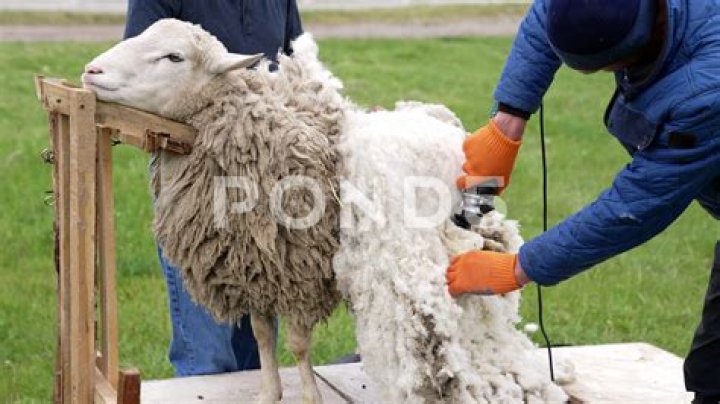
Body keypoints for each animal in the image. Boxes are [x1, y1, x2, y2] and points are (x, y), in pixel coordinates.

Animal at [82, 19, 572, 403]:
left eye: (173, 57)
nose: (91, 70)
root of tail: (437, 116)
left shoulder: (300, 272)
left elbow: (298, 344)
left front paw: (310, 396)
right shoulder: (254, 269)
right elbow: (263, 336)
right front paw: (268, 393)